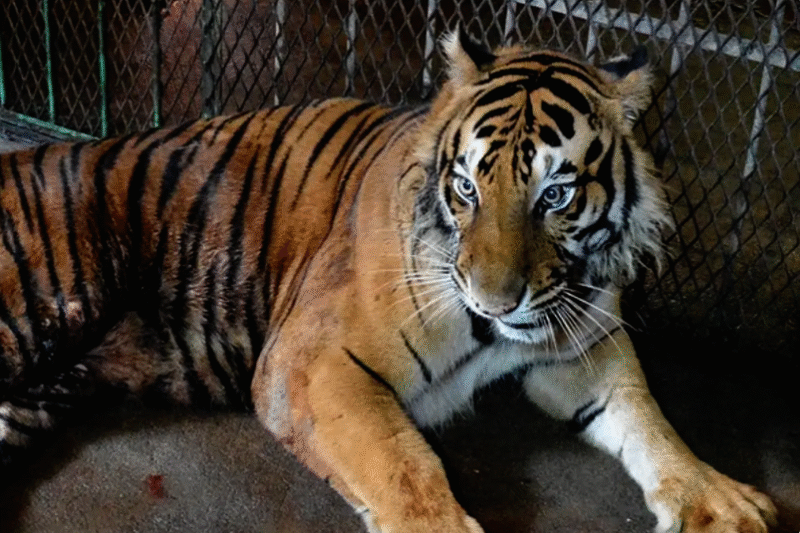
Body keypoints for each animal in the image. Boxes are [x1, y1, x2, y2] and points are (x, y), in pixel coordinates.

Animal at [0, 28, 777, 533]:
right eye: (465, 188)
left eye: (555, 196)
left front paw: (718, 500)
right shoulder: (311, 362)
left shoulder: (585, 342)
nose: (497, 301)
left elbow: (648, 418)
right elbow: (406, 467)